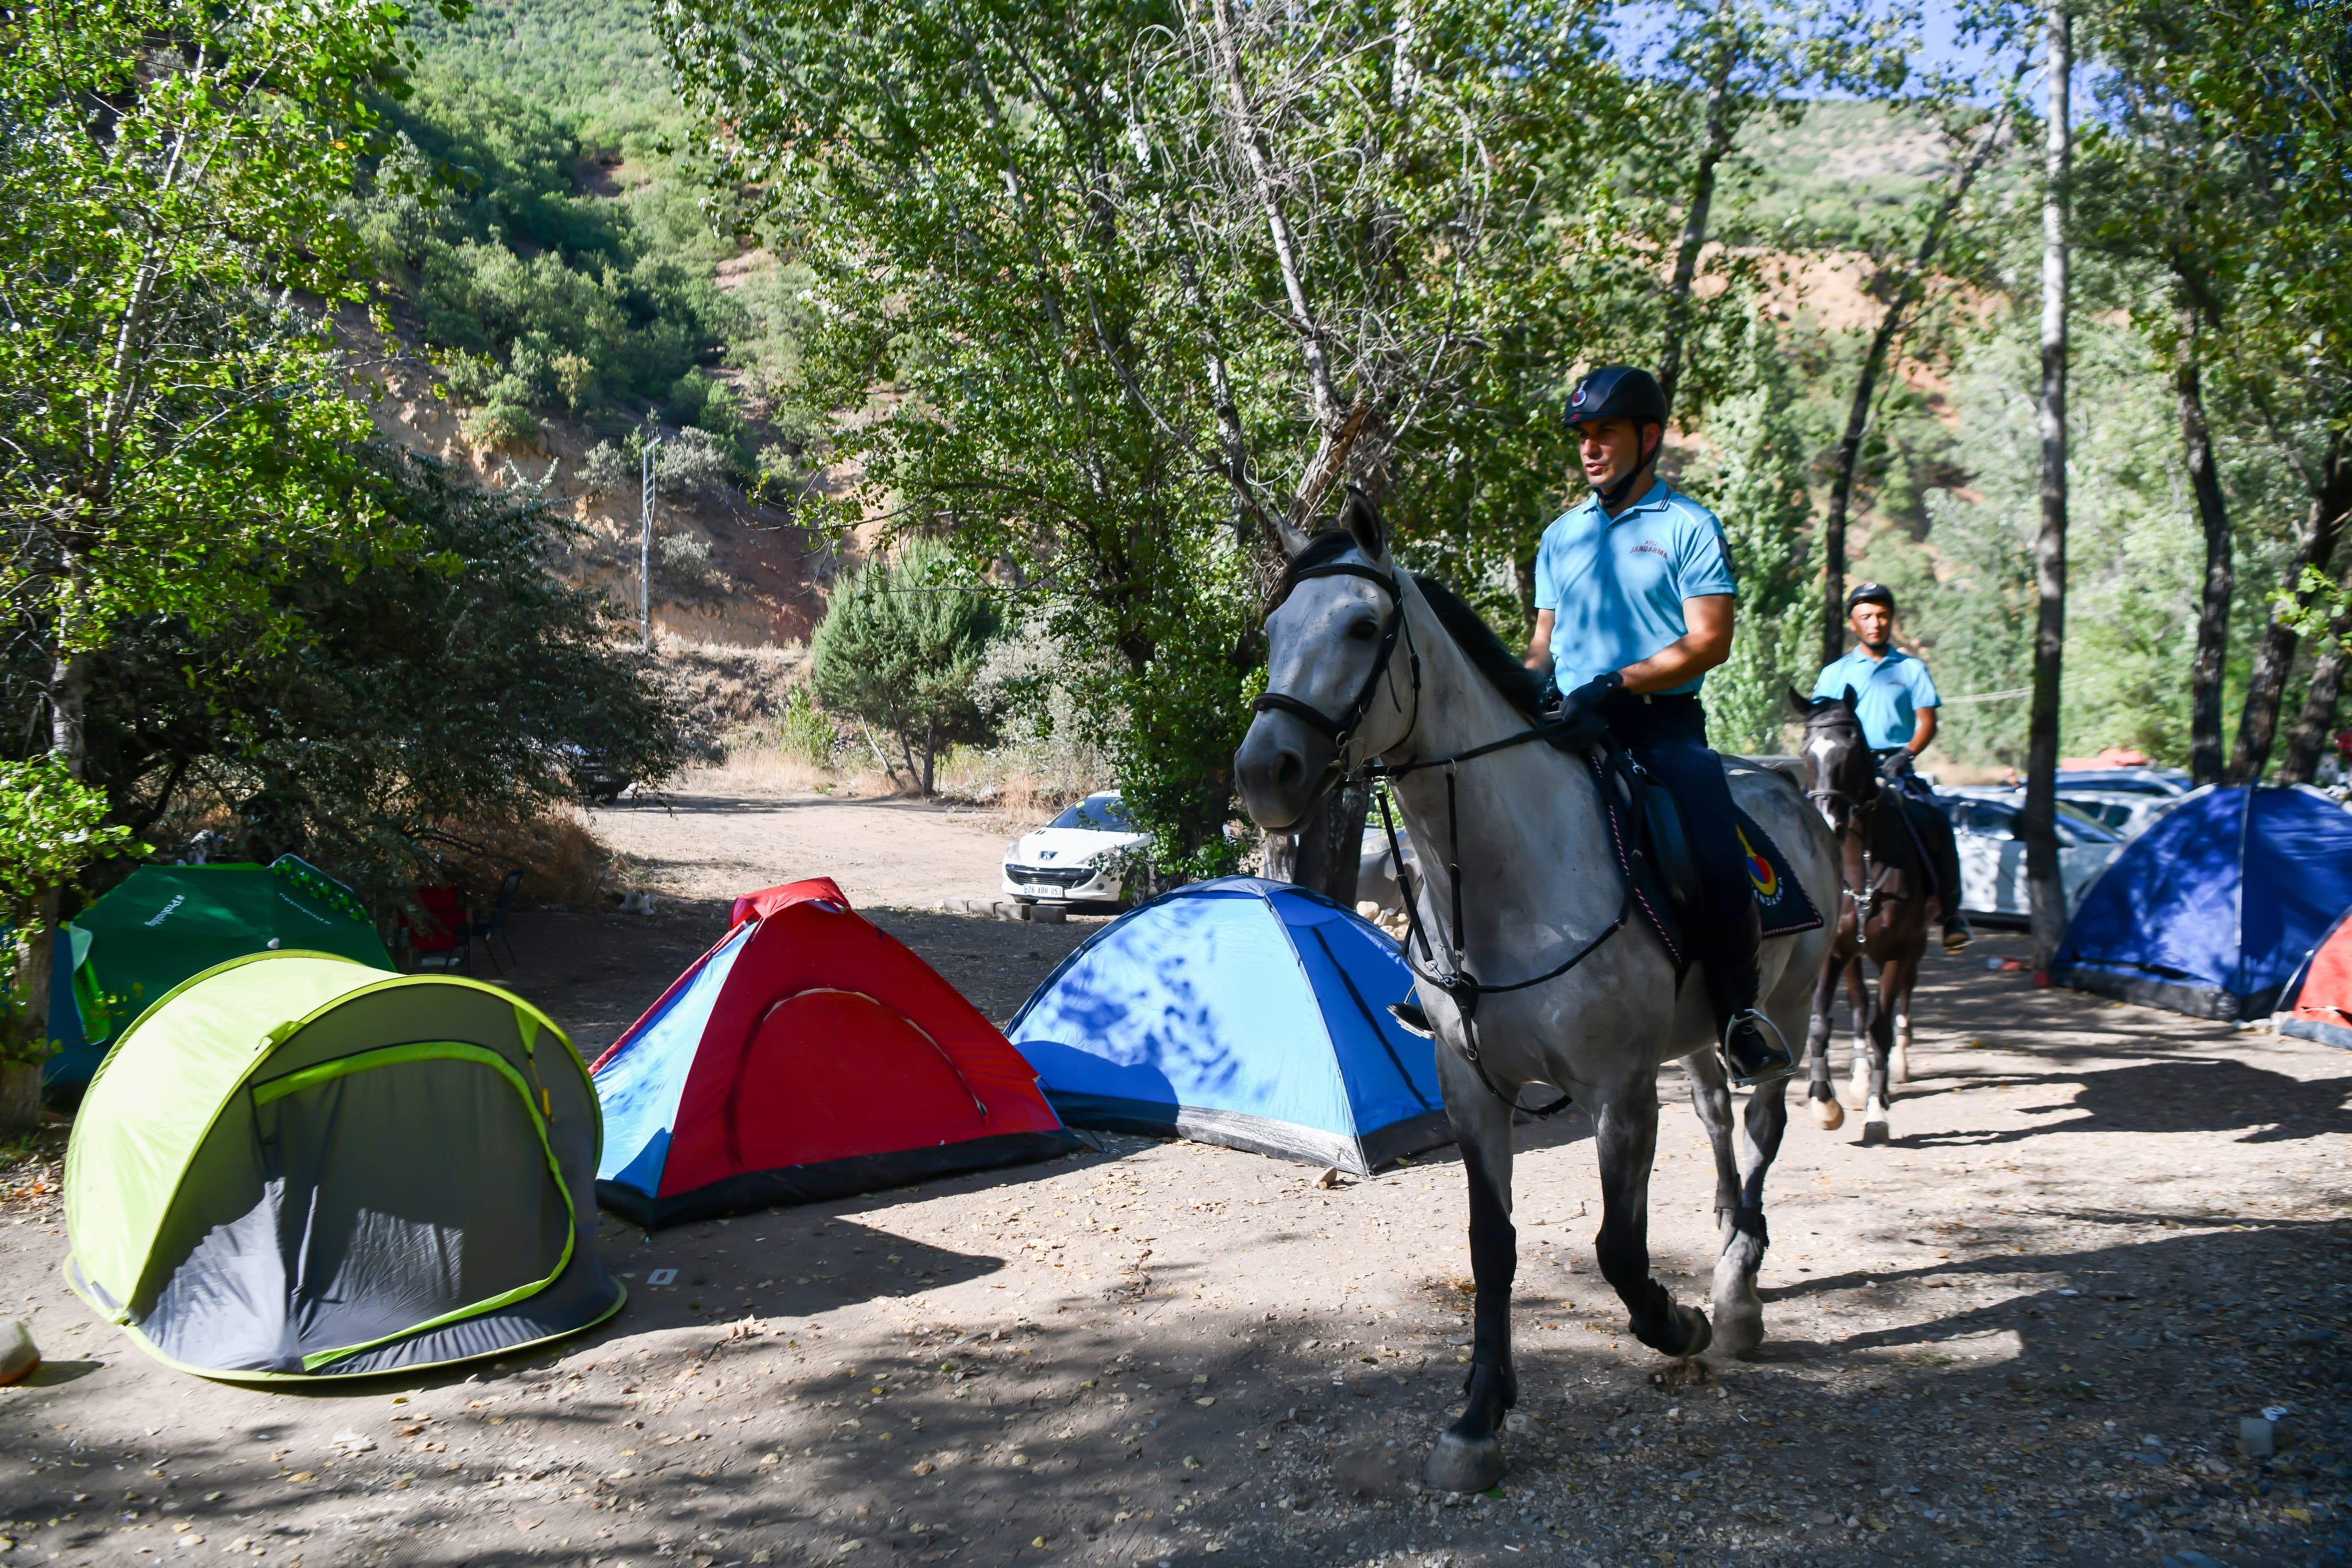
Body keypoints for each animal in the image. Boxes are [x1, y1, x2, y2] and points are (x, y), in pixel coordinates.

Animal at [1232, 493, 1834, 1495]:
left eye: (1362, 627)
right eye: (1275, 630)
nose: (1262, 772)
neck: (1513, 880)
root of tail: (1788, 785)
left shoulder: (1619, 1093)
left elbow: (1618, 1249)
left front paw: (1678, 1323)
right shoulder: (1475, 1088)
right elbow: (1493, 1246)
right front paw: (1480, 1417)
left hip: (1783, 1015)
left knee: (1760, 1131)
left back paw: (1737, 1293)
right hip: (1701, 1040)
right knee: (1720, 1122)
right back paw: (1725, 1244)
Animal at [1787, 691, 1938, 1147]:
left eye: (1852, 750)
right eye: (1806, 750)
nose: (1827, 822)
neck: (1859, 868)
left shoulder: (1897, 951)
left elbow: (1881, 1029)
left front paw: (1877, 1111)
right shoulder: (1833, 952)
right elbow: (1821, 1023)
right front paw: (1825, 1102)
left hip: (1915, 946)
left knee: (1902, 998)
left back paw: (1895, 1067)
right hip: (1853, 955)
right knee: (1858, 1004)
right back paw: (1857, 1079)